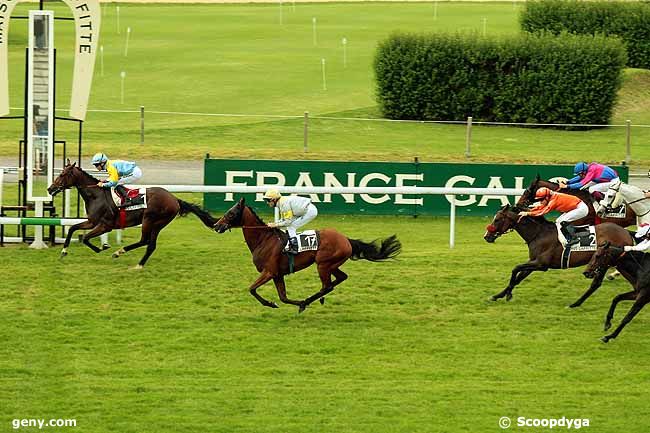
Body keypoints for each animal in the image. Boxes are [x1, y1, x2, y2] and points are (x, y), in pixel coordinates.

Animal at [46, 159, 218, 266]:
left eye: (63, 174)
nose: (50, 189)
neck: (96, 195)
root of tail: (175, 199)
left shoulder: (105, 225)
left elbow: (86, 238)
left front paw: (102, 247)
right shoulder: (92, 221)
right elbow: (72, 229)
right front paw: (63, 251)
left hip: (151, 220)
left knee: (145, 241)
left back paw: (120, 253)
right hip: (156, 223)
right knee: (150, 244)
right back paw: (137, 263)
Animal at [213, 197, 400, 312]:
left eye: (231, 213)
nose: (216, 225)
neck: (263, 240)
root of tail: (346, 239)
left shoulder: (269, 272)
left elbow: (252, 289)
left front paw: (273, 303)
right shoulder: (278, 274)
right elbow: (283, 297)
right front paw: (278, 303)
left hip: (323, 264)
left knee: (327, 285)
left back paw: (309, 301)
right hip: (331, 265)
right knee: (340, 278)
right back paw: (314, 300)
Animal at [484, 204, 632, 306]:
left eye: (497, 219)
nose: (486, 236)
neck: (539, 234)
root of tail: (627, 232)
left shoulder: (541, 264)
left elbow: (515, 269)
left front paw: (508, 294)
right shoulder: (534, 262)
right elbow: (519, 277)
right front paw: (497, 295)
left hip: (604, 262)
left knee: (596, 283)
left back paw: (575, 304)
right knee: (596, 284)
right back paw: (577, 303)